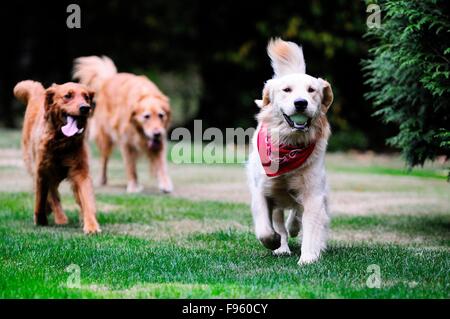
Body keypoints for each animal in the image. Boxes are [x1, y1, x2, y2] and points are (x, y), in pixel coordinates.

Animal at [15, 81, 102, 234]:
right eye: (67, 96)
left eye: (86, 97)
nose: (85, 108)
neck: (61, 142)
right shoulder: (41, 172)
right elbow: (40, 198)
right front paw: (40, 219)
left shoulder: (80, 171)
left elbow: (87, 200)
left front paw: (91, 225)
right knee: (52, 195)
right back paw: (59, 217)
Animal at [73, 56, 173, 194]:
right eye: (146, 116)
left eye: (161, 115)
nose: (157, 133)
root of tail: (109, 78)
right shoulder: (126, 143)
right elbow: (131, 167)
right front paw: (133, 187)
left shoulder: (159, 143)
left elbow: (161, 165)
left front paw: (165, 184)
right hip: (105, 138)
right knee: (104, 159)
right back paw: (102, 180)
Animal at [248, 39, 332, 264]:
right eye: (286, 90)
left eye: (312, 90)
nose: (301, 102)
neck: (290, 144)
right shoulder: (262, 189)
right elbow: (265, 230)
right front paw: (274, 242)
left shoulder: (313, 194)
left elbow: (312, 226)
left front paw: (309, 257)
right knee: (280, 222)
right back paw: (282, 247)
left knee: (297, 215)